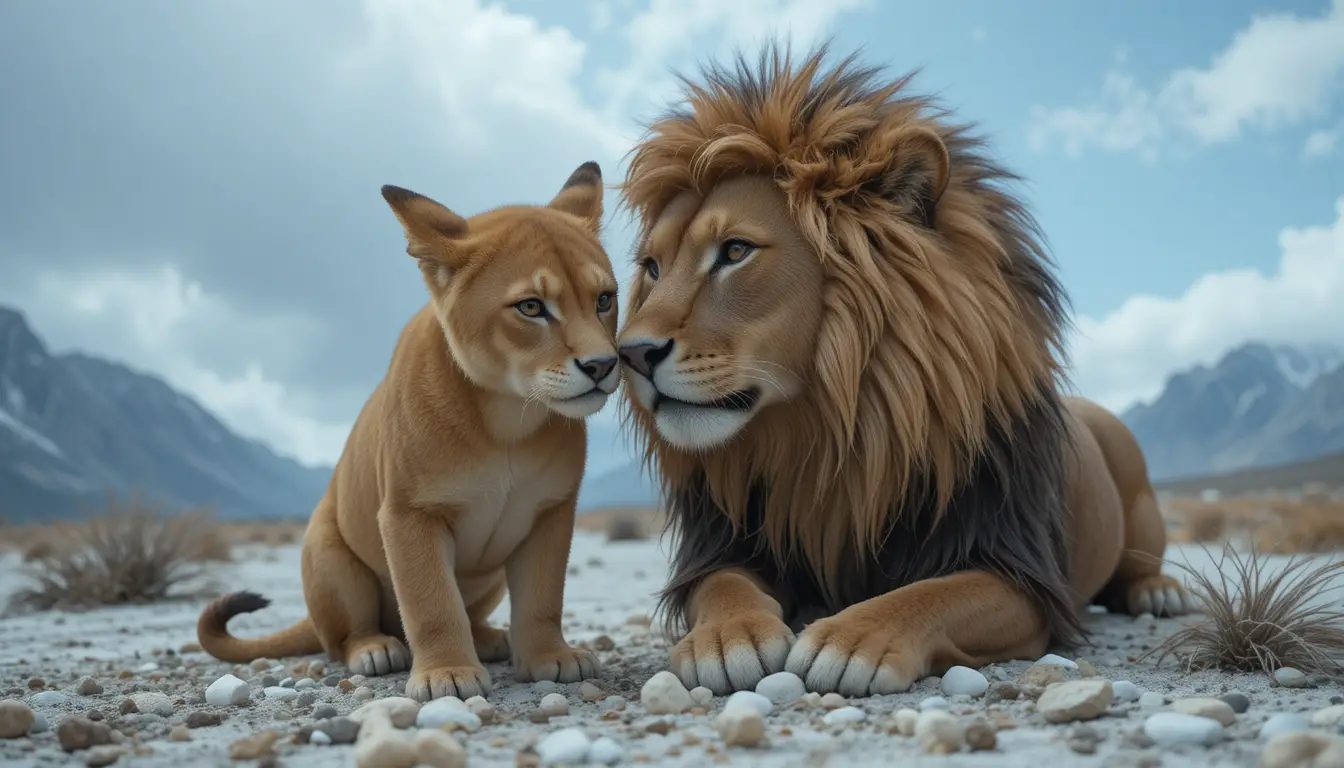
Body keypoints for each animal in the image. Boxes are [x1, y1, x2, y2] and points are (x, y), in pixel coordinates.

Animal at [197, 162, 618, 700]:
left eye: (604, 299)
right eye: (531, 307)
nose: (603, 365)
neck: (506, 419)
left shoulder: (551, 511)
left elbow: (543, 597)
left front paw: (550, 658)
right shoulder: (409, 513)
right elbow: (431, 601)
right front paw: (446, 674)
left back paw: (490, 639)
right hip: (328, 553)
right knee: (343, 637)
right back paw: (377, 649)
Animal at [614, 45, 1192, 696]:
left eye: (735, 251)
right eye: (653, 268)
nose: (629, 354)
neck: (832, 438)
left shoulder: (1017, 571)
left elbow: (932, 594)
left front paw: (850, 641)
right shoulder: (731, 546)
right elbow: (722, 586)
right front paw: (726, 637)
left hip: (1138, 496)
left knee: (1141, 565)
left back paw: (1159, 593)